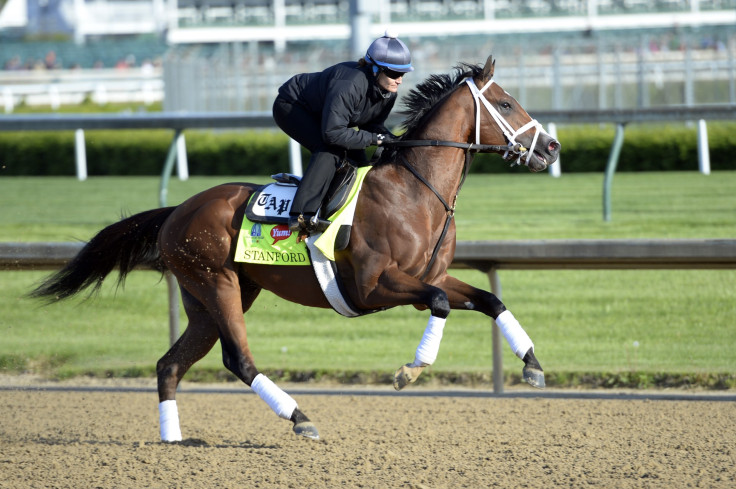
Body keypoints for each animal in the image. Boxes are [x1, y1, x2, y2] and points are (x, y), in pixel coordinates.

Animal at [28, 55, 556, 440]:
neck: (414, 191)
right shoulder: (373, 287)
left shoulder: (428, 276)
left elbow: (489, 299)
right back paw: (300, 418)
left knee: (170, 363)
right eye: (506, 104)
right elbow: (442, 303)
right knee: (237, 360)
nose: (551, 148)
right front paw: (411, 369)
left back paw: (173, 440)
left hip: (210, 298)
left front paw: (532, 365)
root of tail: (177, 210)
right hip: (216, 282)